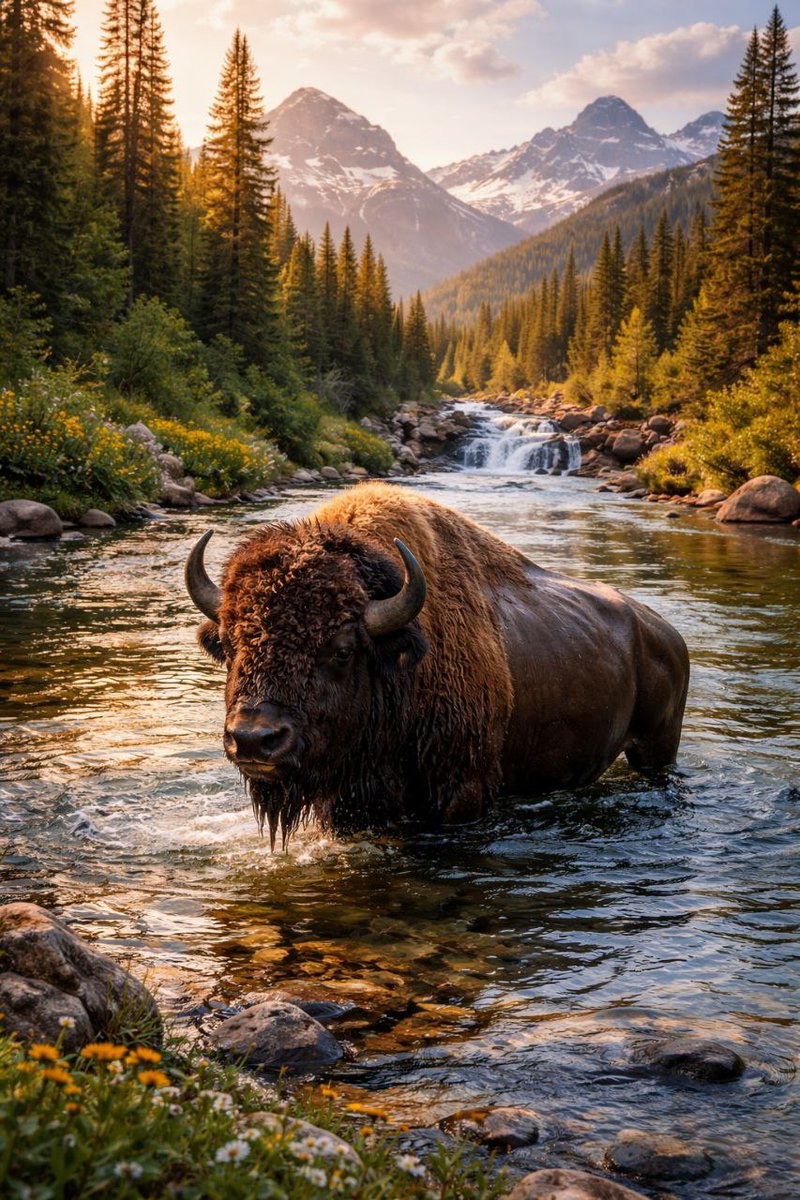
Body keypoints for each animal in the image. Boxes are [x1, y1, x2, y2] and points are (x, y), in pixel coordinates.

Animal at [185, 483, 689, 842]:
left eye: (342, 649)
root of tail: (665, 633)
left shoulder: (460, 790)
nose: (254, 739)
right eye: (229, 644)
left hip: (657, 746)